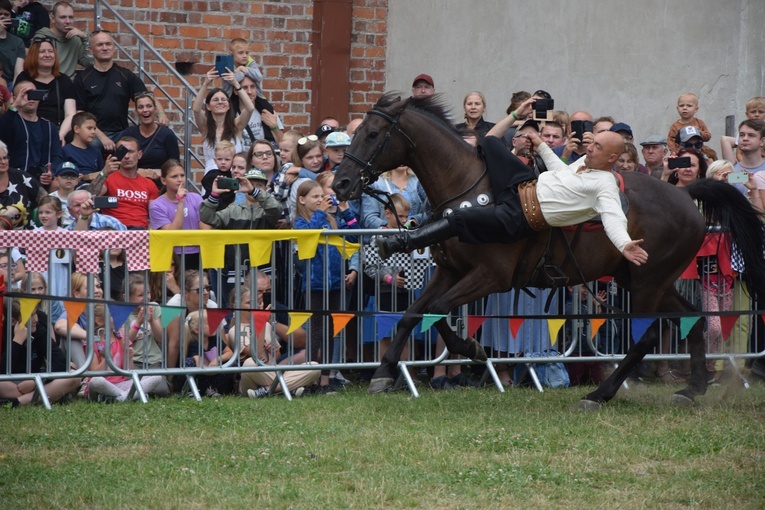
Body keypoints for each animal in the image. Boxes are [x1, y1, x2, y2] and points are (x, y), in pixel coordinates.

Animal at [332, 92, 764, 410]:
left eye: (373, 134)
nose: (341, 183)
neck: (470, 188)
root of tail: (686, 196)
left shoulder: (489, 277)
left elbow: (433, 312)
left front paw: (468, 349)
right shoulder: (449, 271)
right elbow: (416, 314)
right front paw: (386, 371)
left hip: (647, 282)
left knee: (647, 336)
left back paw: (600, 393)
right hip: (645, 278)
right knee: (691, 318)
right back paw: (692, 389)